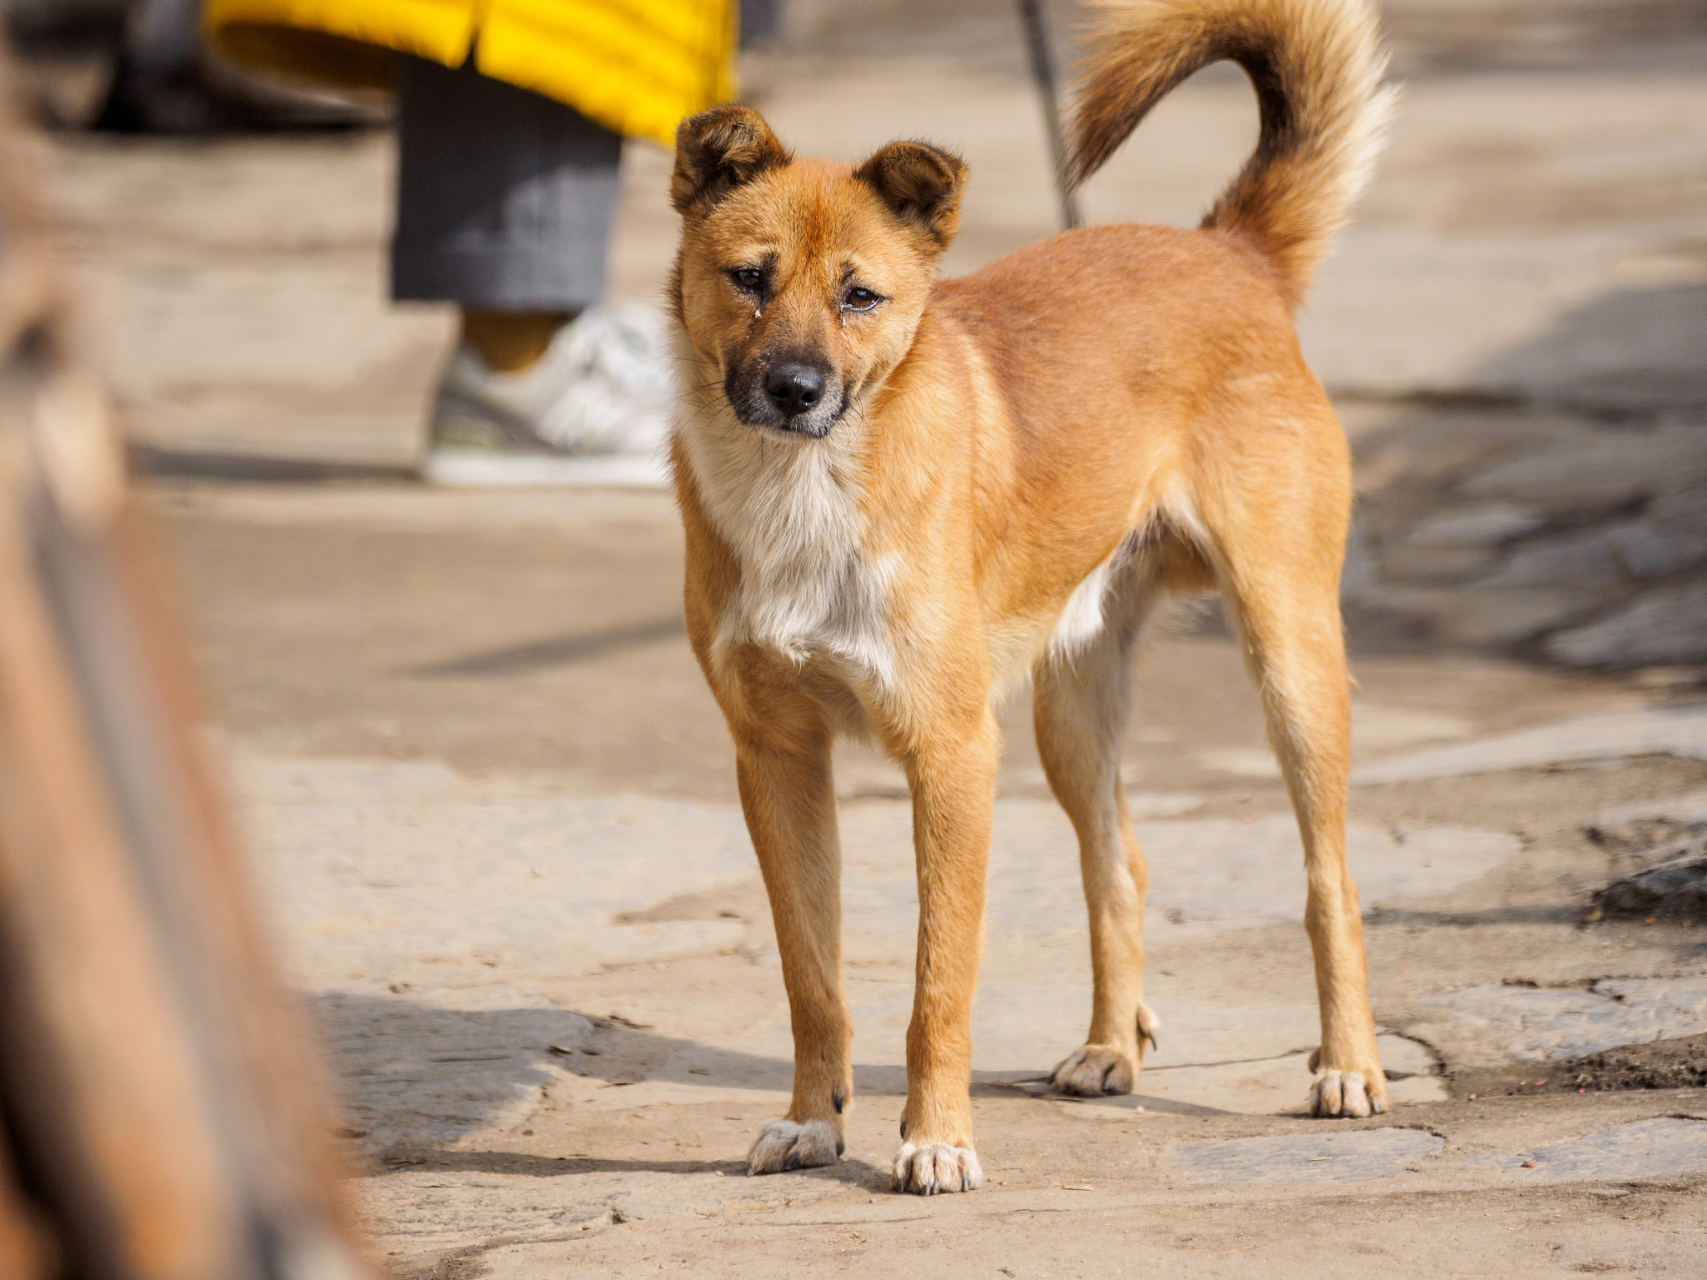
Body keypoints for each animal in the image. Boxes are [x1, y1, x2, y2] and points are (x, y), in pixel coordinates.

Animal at [658, 2, 1392, 1201]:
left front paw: (936, 1137)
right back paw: (1109, 1046)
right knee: (1119, 865)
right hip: (1069, 712)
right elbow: (813, 976)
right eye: (750, 278)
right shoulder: (776, 759)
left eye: (861, 296)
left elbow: (937, 984)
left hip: (1291, 660)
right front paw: (813, 1123)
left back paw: (1348, 1064)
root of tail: (1228, 250)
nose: (796, 390)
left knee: (1327, 879)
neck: (803, 491)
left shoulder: (952, 755)